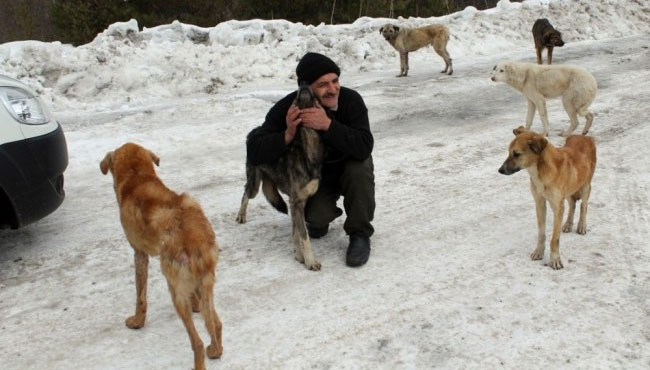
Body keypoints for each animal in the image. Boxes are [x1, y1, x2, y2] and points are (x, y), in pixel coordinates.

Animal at [498, 127, 596, 268]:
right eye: (509, 152)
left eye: (516, 154)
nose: (500, 170)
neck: (541, 171)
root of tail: (584, 137)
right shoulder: (540, 202)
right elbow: (541, 233)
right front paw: (539, 252)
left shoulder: (558, 206)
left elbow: (555, 238)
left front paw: (555, 259)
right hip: (569, 190)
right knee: (572, 204)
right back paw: (568, 224)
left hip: (585, 186)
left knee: (584, 206)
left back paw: (582, 226)